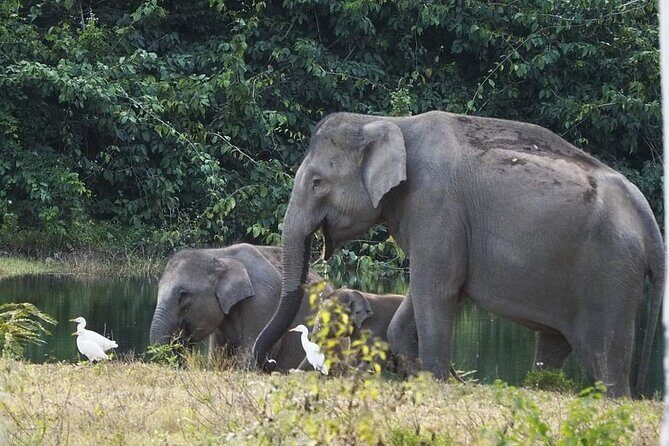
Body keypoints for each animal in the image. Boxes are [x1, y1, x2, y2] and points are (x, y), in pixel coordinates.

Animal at [149, 243, 332, 370]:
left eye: (183, 295)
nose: (271, 363)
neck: (219, 255)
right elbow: (217, 356)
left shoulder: (264, 301)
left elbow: (248, 356)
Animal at [252, 111, 664, 397]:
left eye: (317, 182)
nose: (266, 364)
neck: (389, 124)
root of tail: (648, 220)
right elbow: (417, 297)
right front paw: (422, 374)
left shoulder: (436, 205)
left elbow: (436, 288)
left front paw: (434, 379)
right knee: (553, 343)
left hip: (611, 274)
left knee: (606, 356)